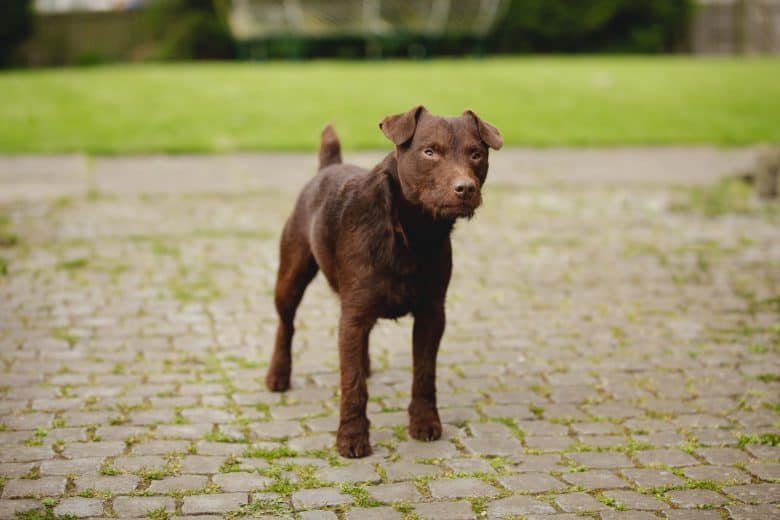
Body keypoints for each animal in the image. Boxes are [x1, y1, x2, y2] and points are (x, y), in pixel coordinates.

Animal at [266, 106, 502, 460]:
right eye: (429, 152)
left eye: (476, 154)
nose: (465, 188)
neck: (411, 231)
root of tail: (328, 167)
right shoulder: (354, 312)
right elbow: (352, 385)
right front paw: (352, 438)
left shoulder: (432, 313)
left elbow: (424, 373)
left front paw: (424, 422)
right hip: (292, 275)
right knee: (286, 323)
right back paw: (278, 375)